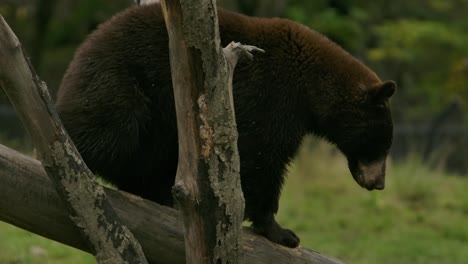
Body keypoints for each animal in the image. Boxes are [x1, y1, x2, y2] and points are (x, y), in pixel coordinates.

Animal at [56, 3, 396, 249]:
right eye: (383, 144)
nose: (379, 183)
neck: (311, 89)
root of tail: (82, 50)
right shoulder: (272, 99)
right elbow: (263, 158)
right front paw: (282, 231)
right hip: (124, 82)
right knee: (109, 128)